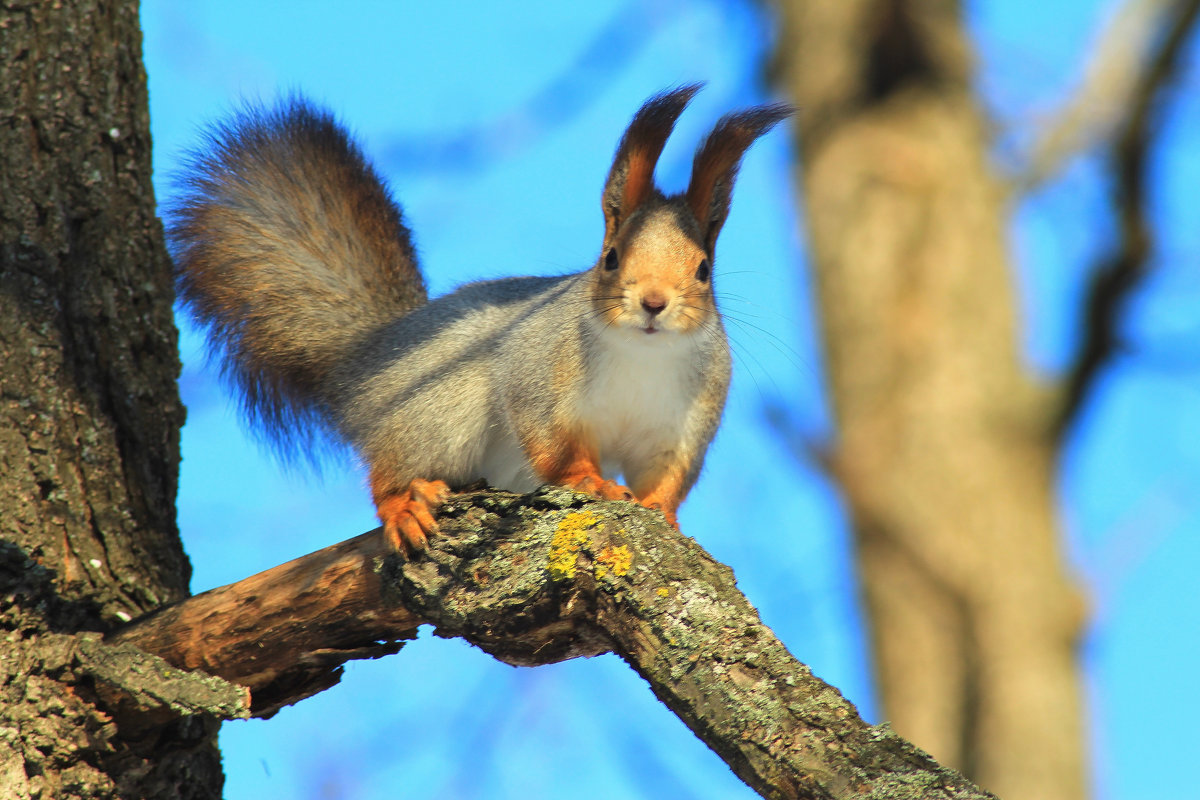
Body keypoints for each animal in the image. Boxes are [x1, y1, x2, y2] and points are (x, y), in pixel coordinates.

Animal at [169, 84, 787, 554]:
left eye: (703, 269)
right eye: (611, 258)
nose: (654, 303)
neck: (643, 354)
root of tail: (365, 364)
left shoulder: (685, 421)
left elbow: (669, 476)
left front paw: (665, 513)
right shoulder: (537, 367)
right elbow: (555, 445)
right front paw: (593, 482)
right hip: (434, 410)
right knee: (387, 472)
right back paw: (405, 505)